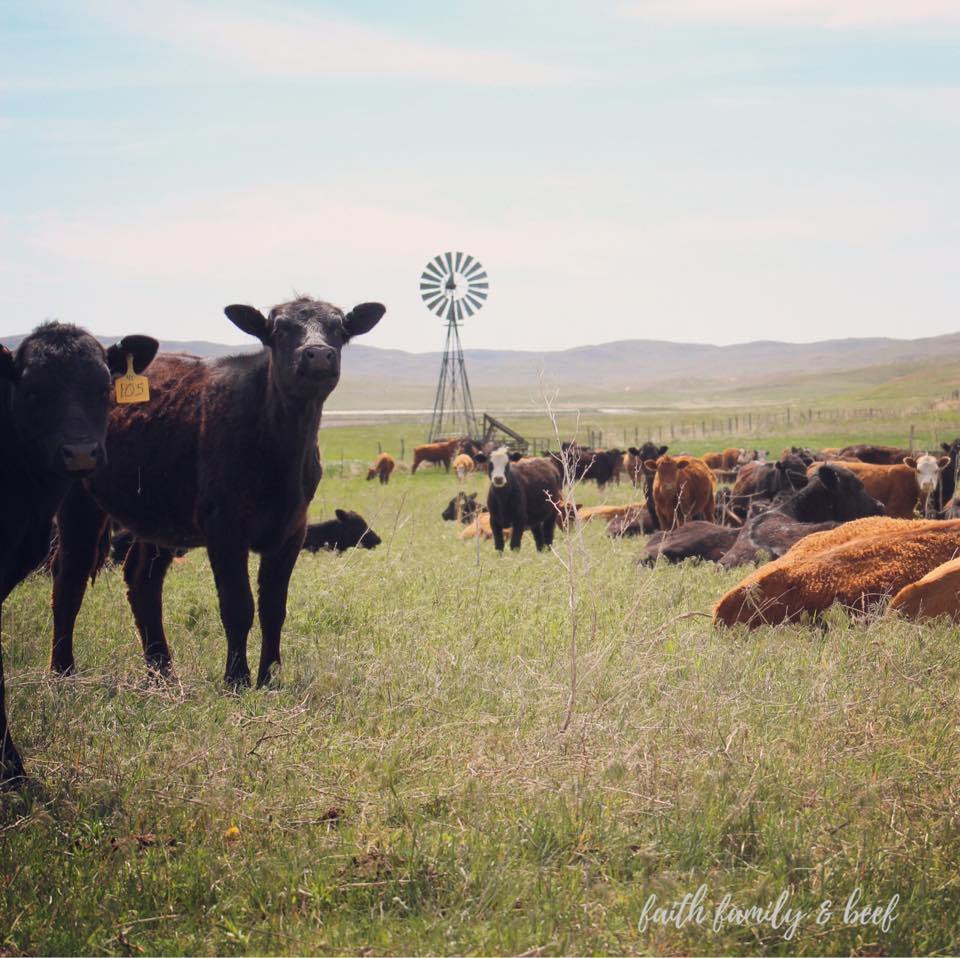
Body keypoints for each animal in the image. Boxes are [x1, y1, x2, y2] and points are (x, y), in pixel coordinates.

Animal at [51, 294, 382, 688]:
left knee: (142, 580)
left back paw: (163, 671)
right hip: (77, 503)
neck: (279, 451)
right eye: (279, 329)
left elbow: (274, 607)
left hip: (159, 516)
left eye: (340, 329)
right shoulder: (223, 527)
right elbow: (238, 605)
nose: (318, 354)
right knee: (69, 576)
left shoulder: (292, 530)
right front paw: (237, 678)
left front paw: (269, 677)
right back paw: (63, 670)